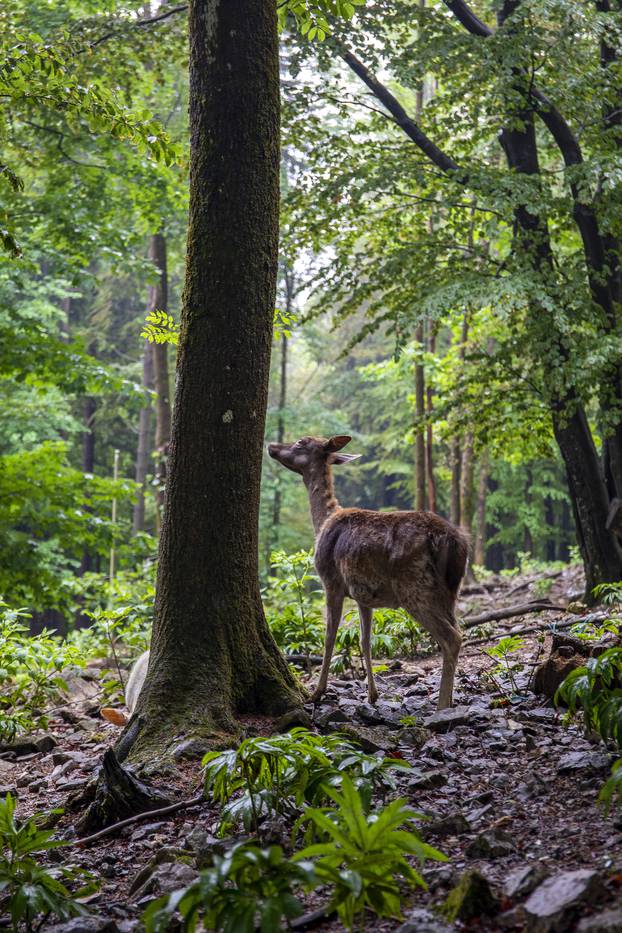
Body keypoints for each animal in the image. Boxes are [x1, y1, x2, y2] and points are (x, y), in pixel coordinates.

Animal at [268, 436, 468, 708]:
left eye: (301, 442)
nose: (271, 446)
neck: (322, 522)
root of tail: (456, 541)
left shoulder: (331, 582)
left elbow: (329, 638)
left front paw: (317, 692)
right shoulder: (364, 596)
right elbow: (365, 641)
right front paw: (373, 695)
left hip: (415, 587)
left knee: (452, 638)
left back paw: (441, 706)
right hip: (450, 591)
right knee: (458, 630)